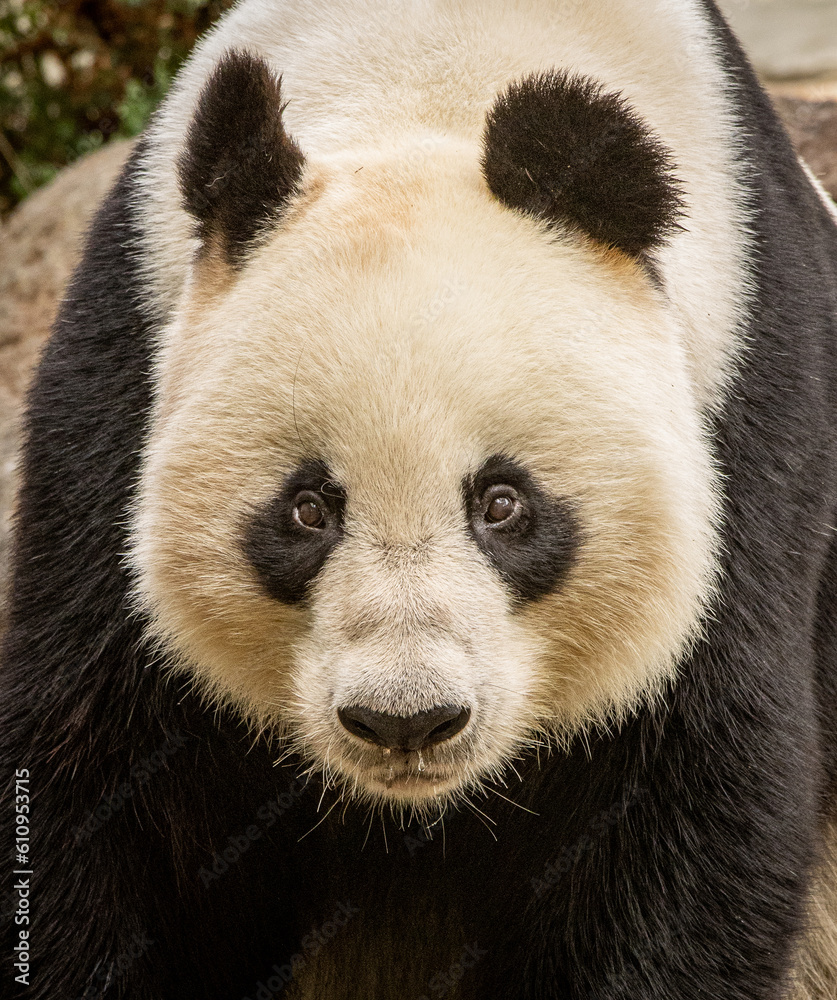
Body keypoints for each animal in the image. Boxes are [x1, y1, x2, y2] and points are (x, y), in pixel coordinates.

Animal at [3, 0, 837, 997]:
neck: (432, 86)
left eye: (502, 504)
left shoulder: (751, 429)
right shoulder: (121, 380)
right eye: (308, 509)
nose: (406, 721)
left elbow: (690, 810)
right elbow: (101, 792)